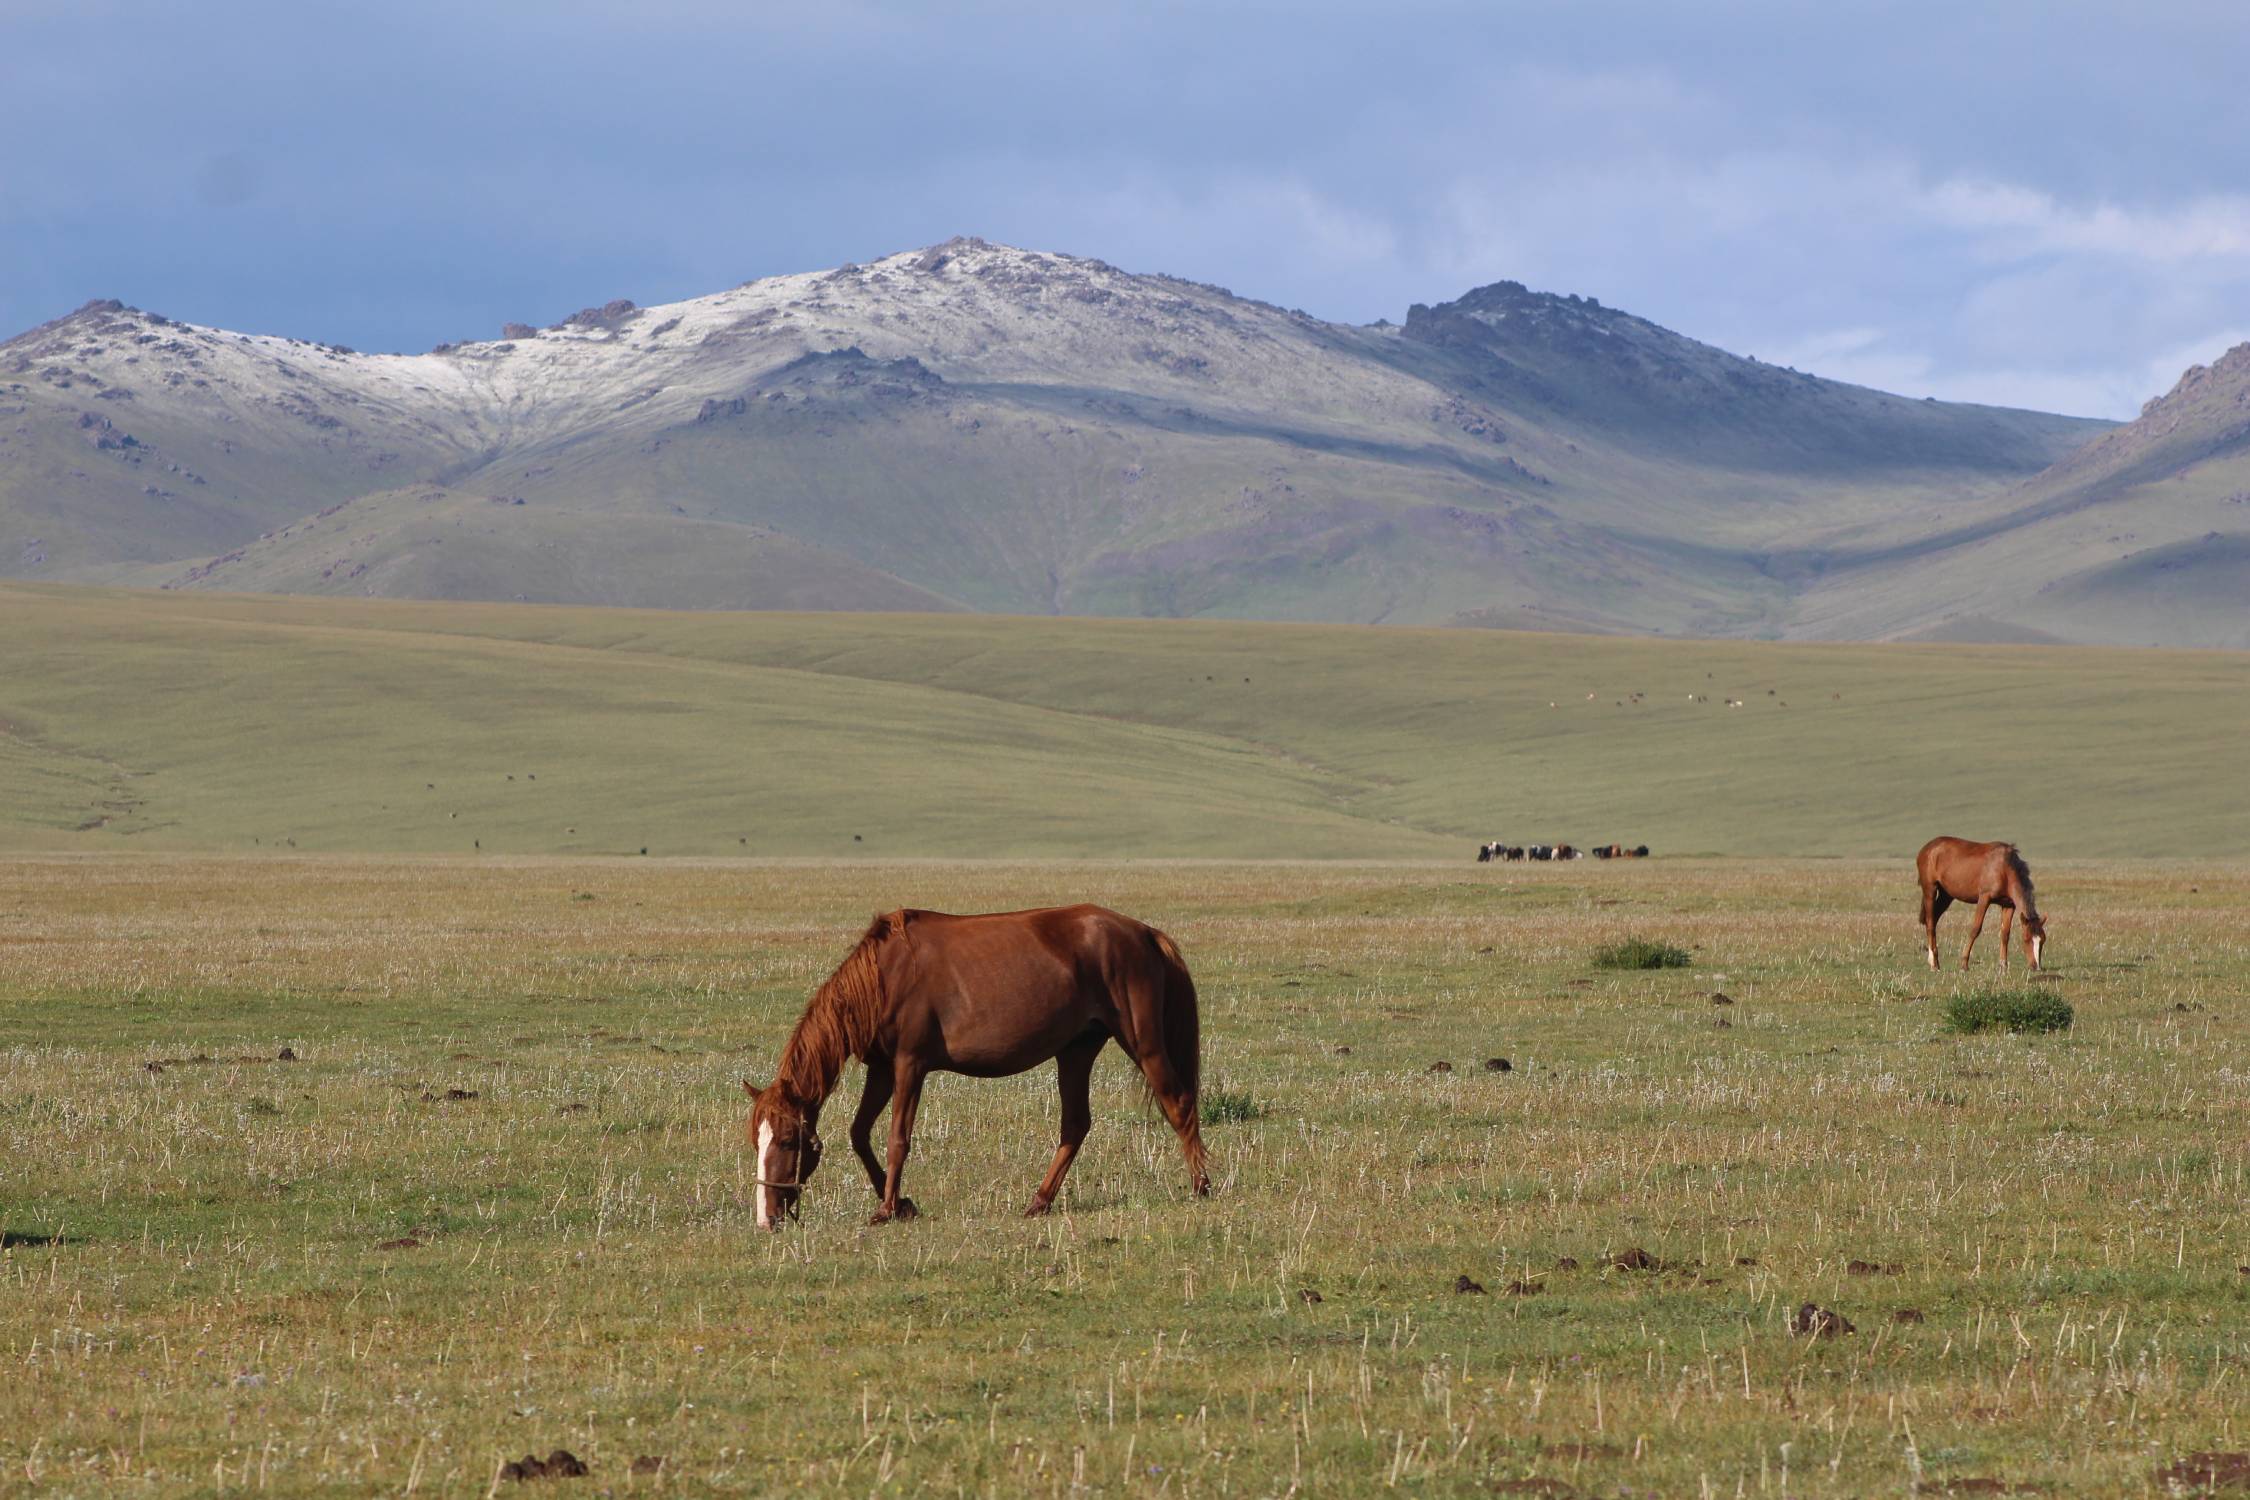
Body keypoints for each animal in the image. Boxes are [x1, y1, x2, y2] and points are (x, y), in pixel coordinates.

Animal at [741, 905, 1209, 1229]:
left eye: (787, 1141)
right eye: (755, 1142)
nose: (766, 1219)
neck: (883, 977)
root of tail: (1143, 932)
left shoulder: (910, 1065)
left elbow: (897, 1139)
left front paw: (887, 1208)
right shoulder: (882, 1069)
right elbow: (860, 1134)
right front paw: (900, 1203)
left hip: (1143, 1044)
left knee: (1178, 1103)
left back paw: (1201, 1187)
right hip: (1076, 1050)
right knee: (1075, 1124)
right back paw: (1039, 1201)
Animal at [1916, 837, 2047, 971]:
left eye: (2042, 940)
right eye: (2026, 939)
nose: (2036, 967)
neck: (2005, 869)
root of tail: (1927, 848)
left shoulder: (2009, 905)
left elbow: (2005, 933)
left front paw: (2003, 965)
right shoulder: (1984, 898)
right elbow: (1975, 929)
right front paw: (1964, 964)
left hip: (1946, 896)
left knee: (1933, 920)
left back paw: (1933, 960)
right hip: (1930, 890)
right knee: (1930, 923)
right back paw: (1934, 964)